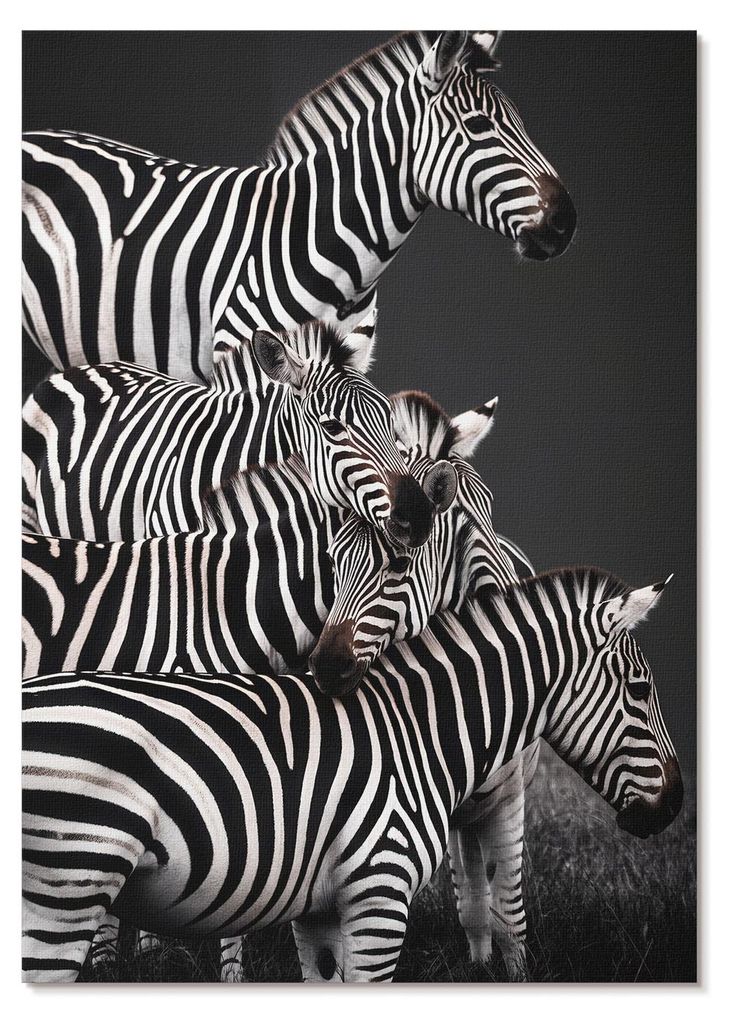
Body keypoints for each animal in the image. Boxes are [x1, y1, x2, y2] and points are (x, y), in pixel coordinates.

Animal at [22, 568, 682, 983]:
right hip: (68, 886)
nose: (676, 803)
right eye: (641, 689)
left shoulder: (319, 911)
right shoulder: (379, 890)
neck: (415, 731)